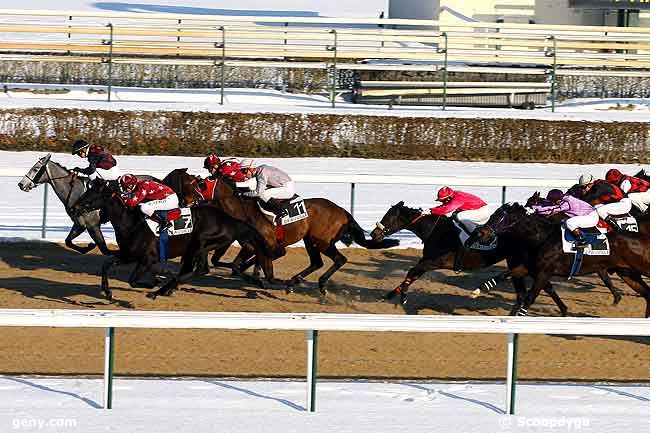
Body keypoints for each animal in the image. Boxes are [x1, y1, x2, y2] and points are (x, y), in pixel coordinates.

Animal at [74, 181, 274, 298]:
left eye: (94, 193)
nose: (76, 206)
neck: (130, 223)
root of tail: (230, 220)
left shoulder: (148, 258)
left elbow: (133, 280)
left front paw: (153, 282)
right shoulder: (128, 255)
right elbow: (106, 264)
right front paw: (107, 291)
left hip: (200, 243)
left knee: (195, 269)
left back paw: (160, 290)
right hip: (199, 247)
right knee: (200, 269)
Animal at [165, 169, 398, 296]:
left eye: (200, 183)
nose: (184, 201)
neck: (242, 209)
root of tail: (342, 210)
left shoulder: (267, 245)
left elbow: (259, 261)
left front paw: (258, 277)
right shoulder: (249, 244)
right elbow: (237, 265)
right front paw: (255, 277)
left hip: (321, 241)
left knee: (339, 259)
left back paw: (319, 285)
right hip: (310, 241)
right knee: (317, 262)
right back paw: (295, 282)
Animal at [370, 199, 568, 314]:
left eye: (389, 217)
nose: (373, 234)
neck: (435, 230)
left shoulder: (435, 261)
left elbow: (412, 271)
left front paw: (402, 297)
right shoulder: (426, 261)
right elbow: (412, 274)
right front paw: (390, 295)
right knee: (545, 286)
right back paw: (564, 310)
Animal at [476, 202, 648, 318]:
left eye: (499, 217)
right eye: (492, 215)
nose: (481, 233)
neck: (542, 237)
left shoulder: (544, 272)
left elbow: (530, 297)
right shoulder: (531, 267)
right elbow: (505, 274)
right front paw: (479, 290)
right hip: (627, 273)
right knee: (647, 293)